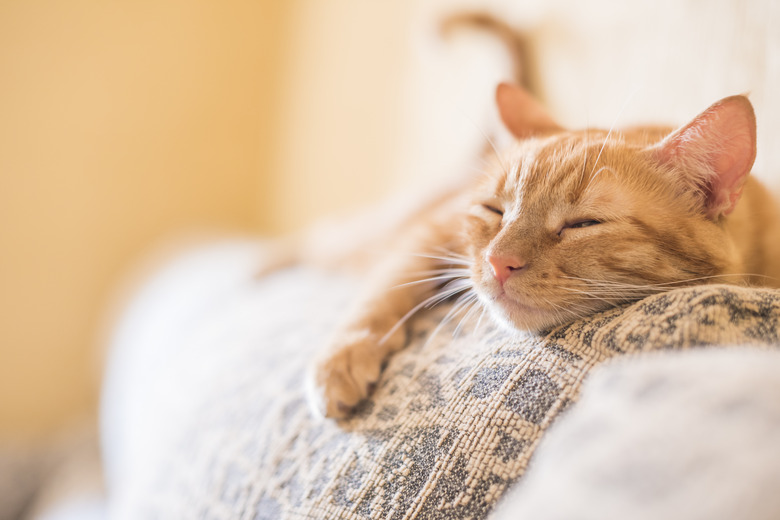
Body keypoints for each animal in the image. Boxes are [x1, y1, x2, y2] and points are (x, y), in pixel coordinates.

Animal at [294, 83, 780, 420]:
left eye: (582, 224)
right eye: (495, 209)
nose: (497, 262)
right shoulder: (431, 232)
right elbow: (384, 288)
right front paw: (342, 358)